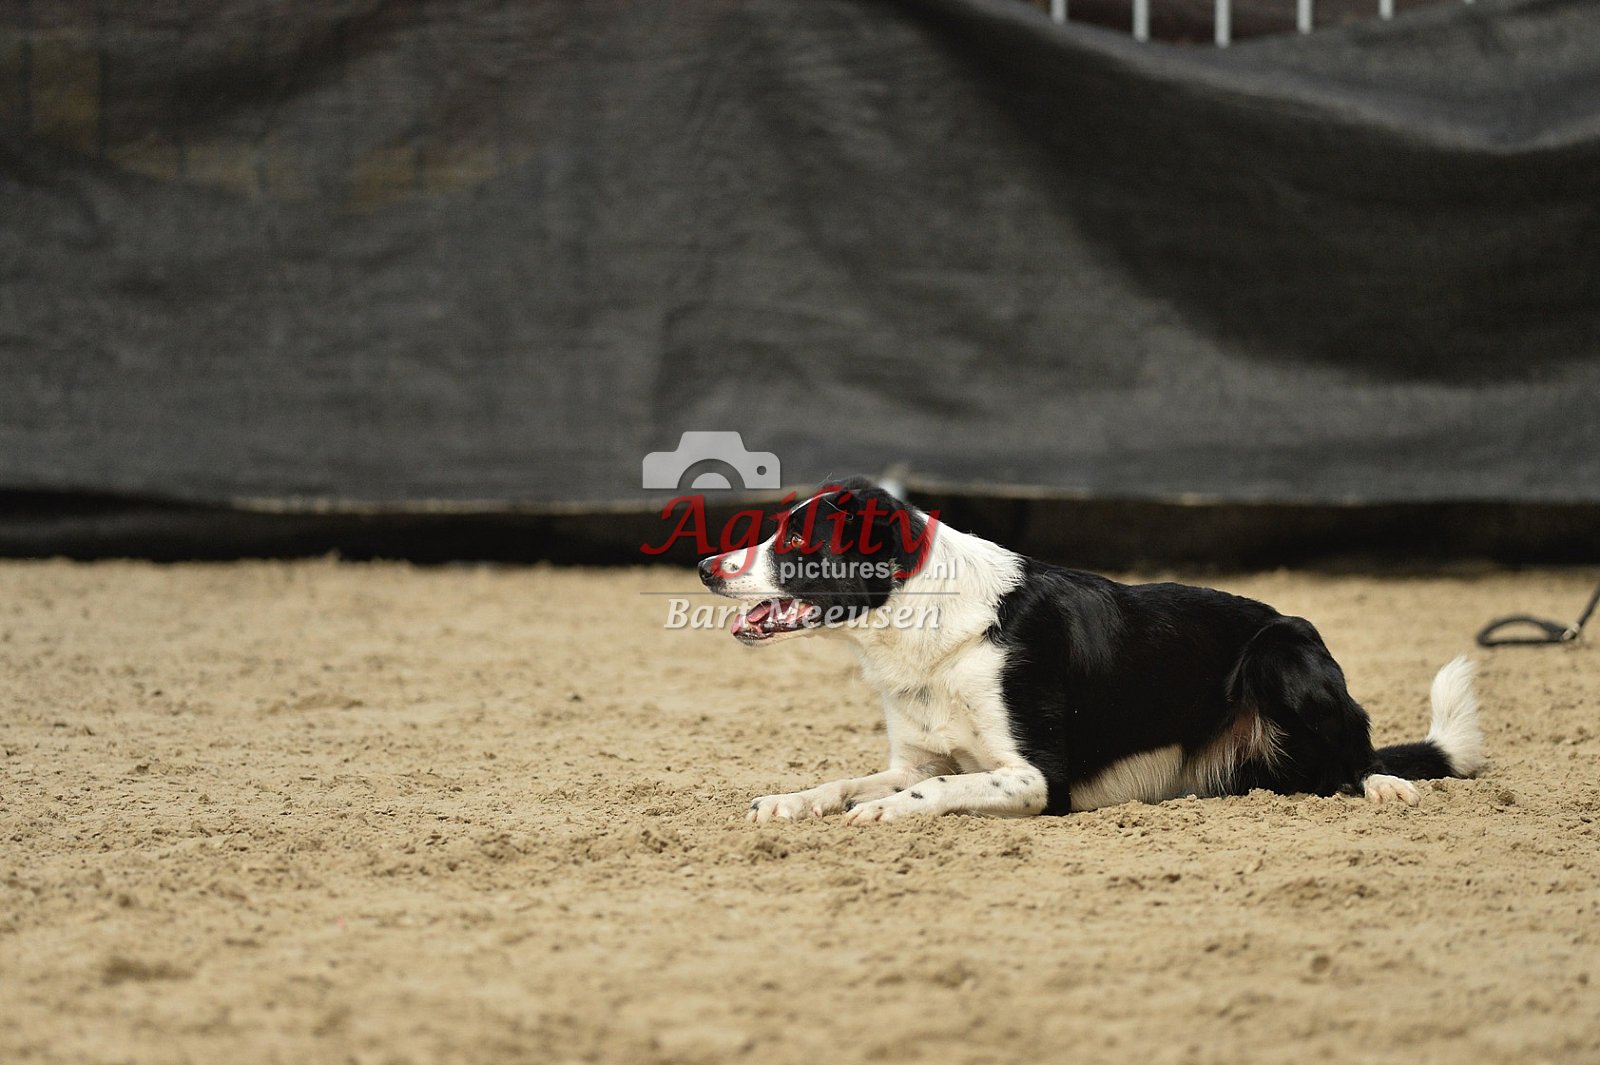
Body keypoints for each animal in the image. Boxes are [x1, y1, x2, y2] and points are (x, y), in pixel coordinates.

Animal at [697, 479, 1485, 824]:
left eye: (796, 542)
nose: (706, 566)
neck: (935, 632)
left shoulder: (1037, 779)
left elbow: (930, 791)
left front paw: (886, 813)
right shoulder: (916, 758)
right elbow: (847, 781)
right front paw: (792, 800)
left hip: (1283, 651)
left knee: (1355, 761)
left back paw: (1383, 784)